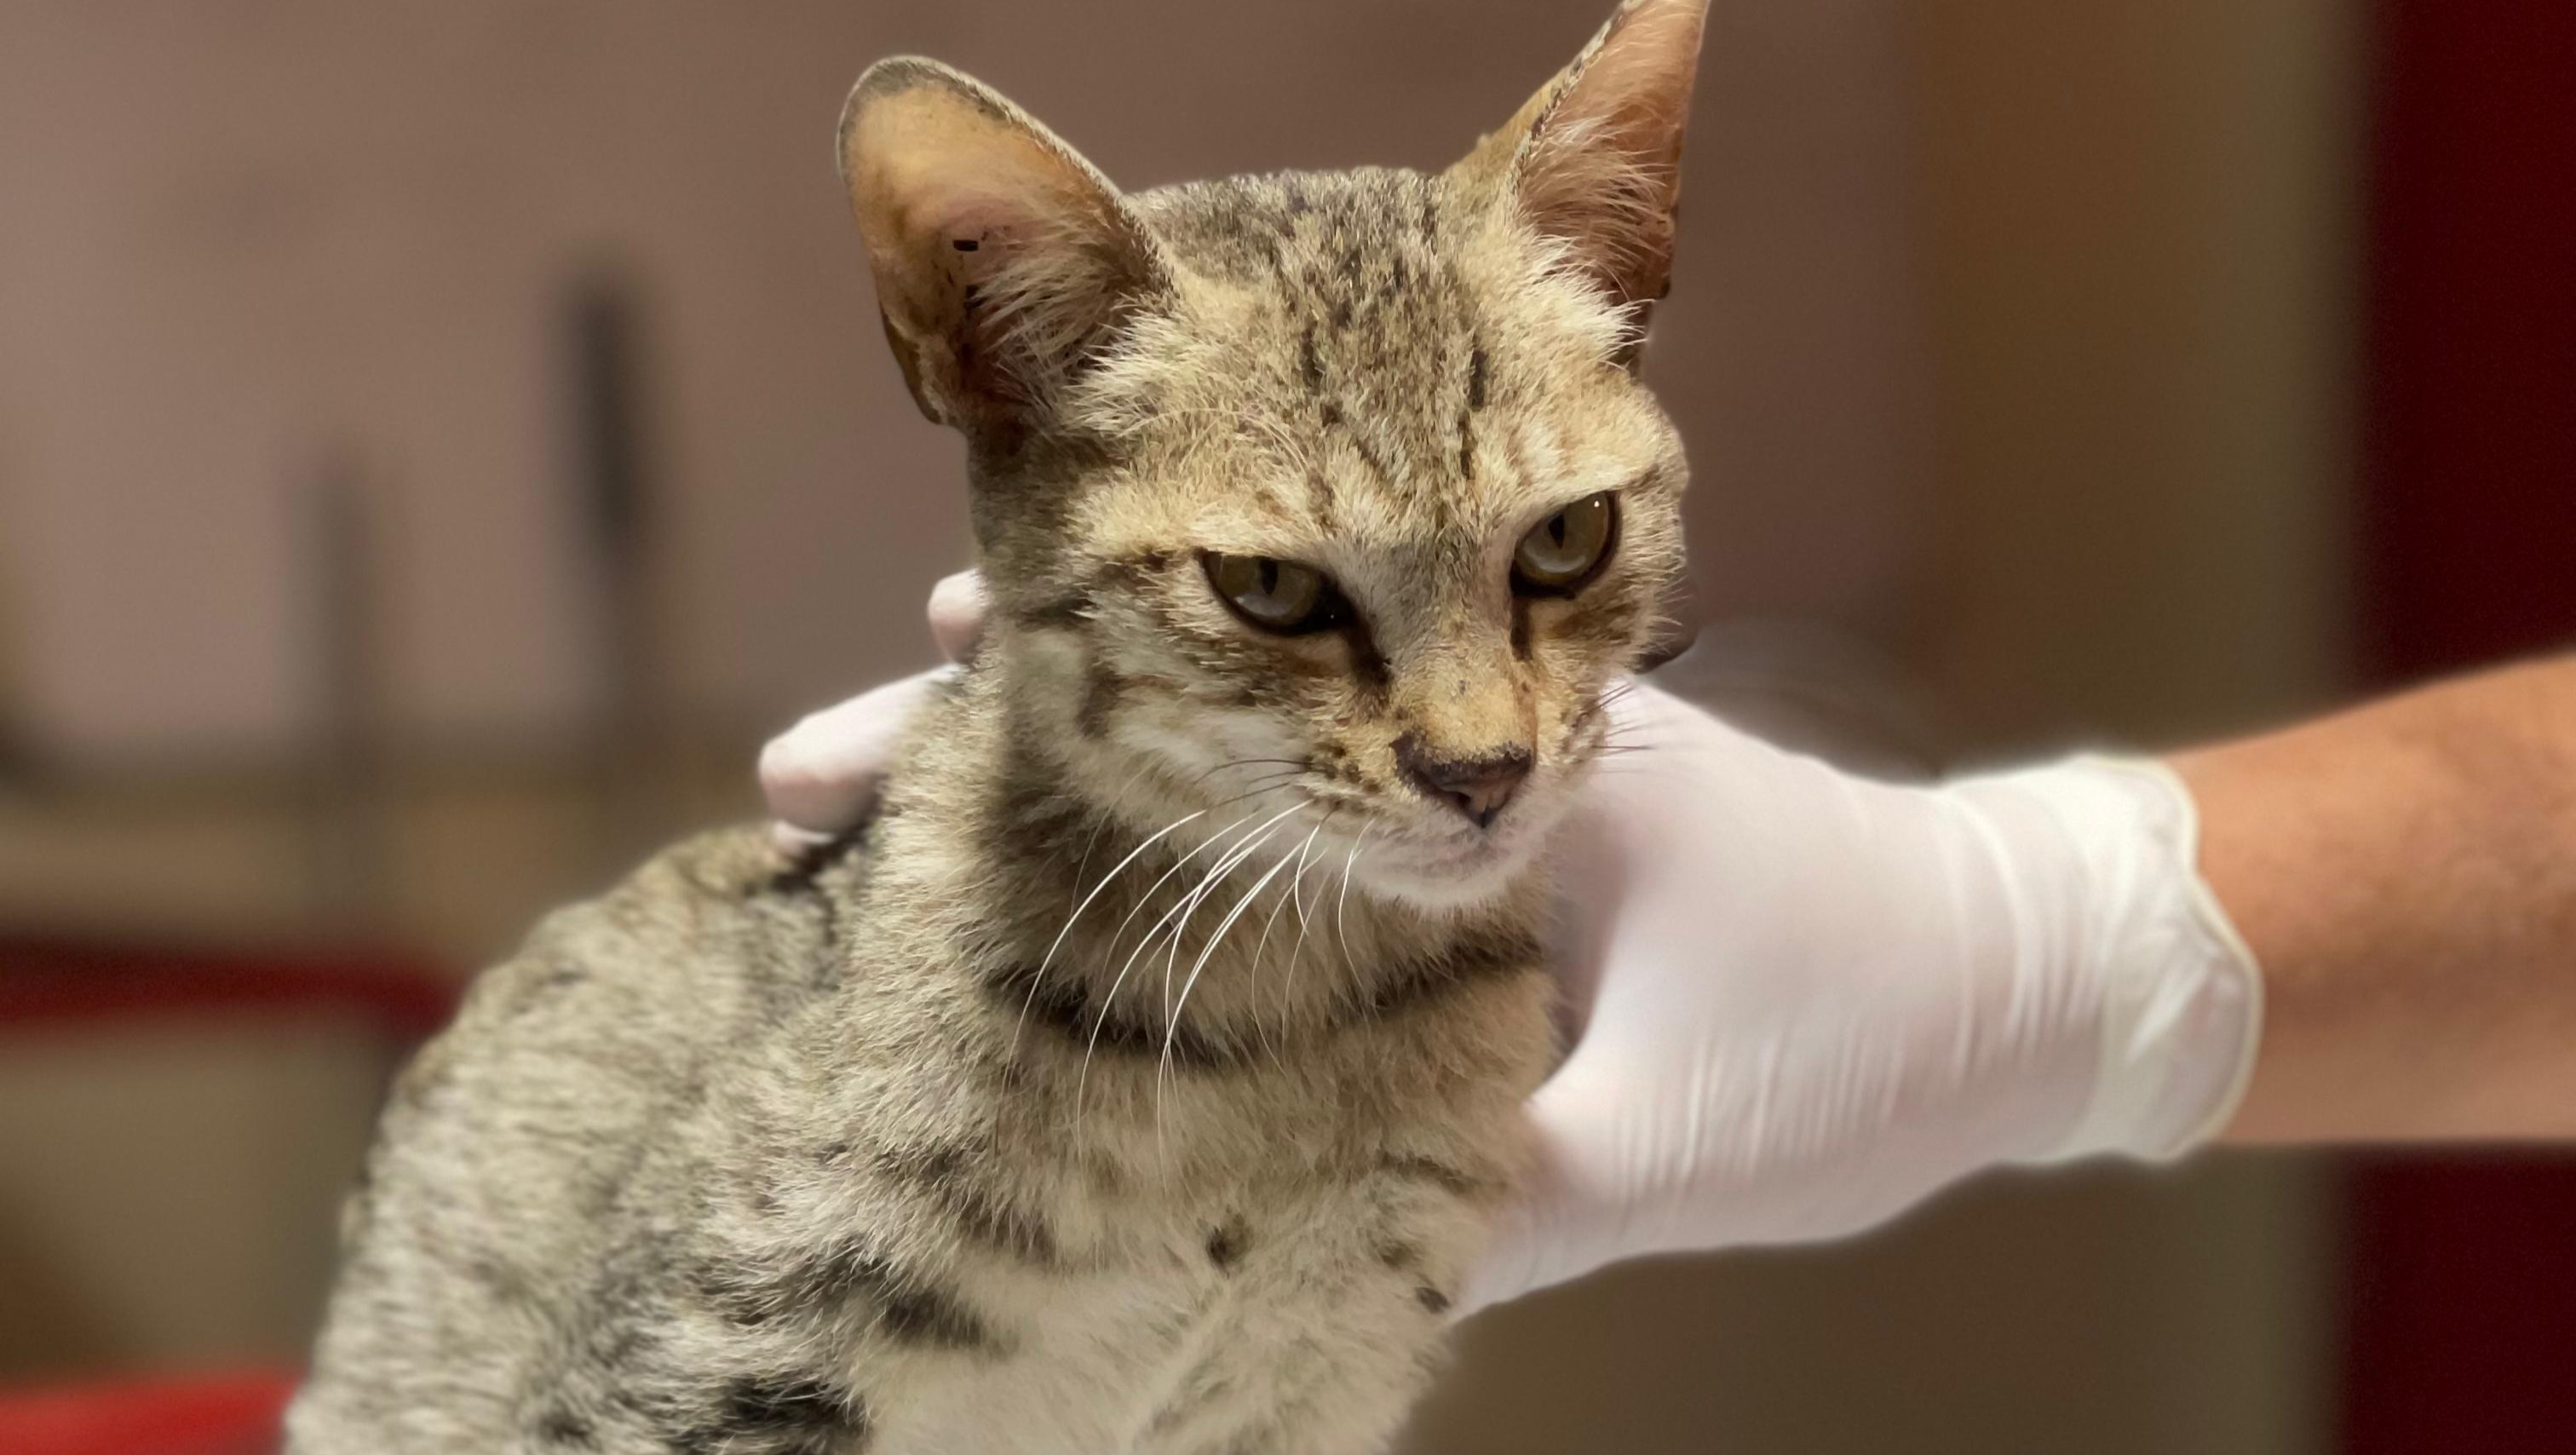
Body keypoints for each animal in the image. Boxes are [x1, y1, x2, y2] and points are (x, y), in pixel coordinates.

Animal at [286, 2, 1701, 1450]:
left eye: (1568, 537)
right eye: (1268, 586)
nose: (1484, 773)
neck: (1291, 1005)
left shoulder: (1314, 1384)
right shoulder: (692, 1370)